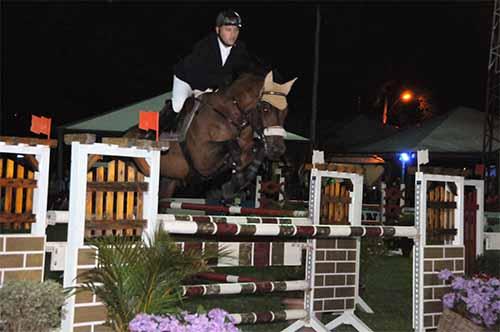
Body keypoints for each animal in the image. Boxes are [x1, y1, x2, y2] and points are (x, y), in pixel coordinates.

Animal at [128, 70, 296, 200]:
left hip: (168, 181)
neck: (230, 117)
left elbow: (255, 149)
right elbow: (232, 147)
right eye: (266, 109)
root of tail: (126, 134)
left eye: (286, 112)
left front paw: (235, 183)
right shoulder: (203, 158)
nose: (278, 149)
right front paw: (232, 185)